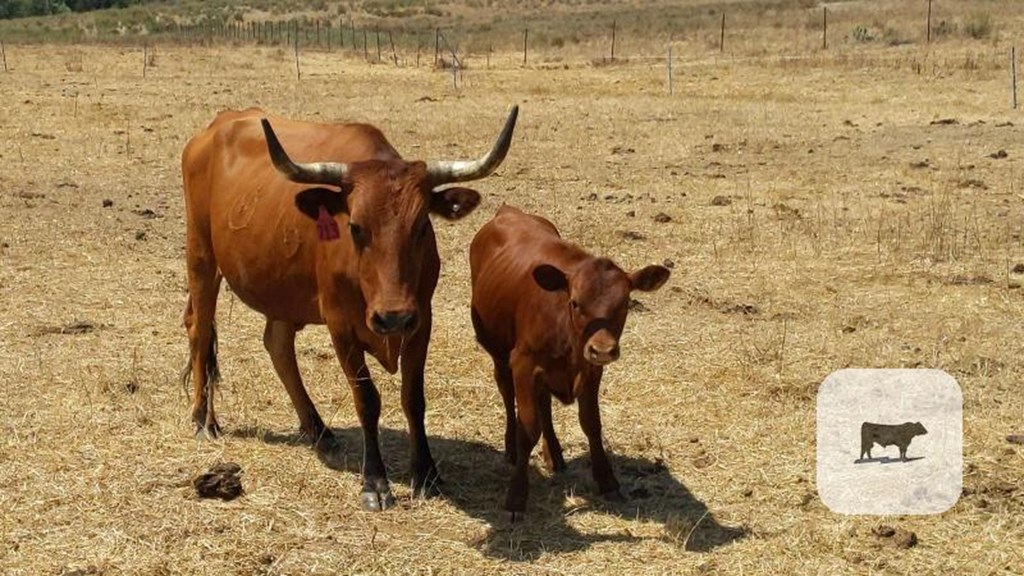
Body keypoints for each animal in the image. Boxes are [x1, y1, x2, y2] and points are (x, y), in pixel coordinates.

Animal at [180, 105, 520, 508]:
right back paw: (203, 419)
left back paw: (317, 428)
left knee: (277, 345)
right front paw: (375, 482)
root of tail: (220, 123)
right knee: (200, 330)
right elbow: (367, 400)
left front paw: (427, 473)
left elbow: (413, 398)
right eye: (355, 227)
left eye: (421, 226)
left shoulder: (421, 321)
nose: (392, 317)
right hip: (201, 255)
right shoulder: (340, 325)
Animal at [468, 204, 671, 516]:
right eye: (575, 302)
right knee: (506, 391)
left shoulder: (590, 370)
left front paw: (607, 481)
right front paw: (516, 497)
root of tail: (508, 212)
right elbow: (528, 429)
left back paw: (554, 454)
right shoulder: (523, 364)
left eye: (625, 303)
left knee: (544, 403)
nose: (602, 349)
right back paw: (511, 449)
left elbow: (591, 423)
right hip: (498, 352)